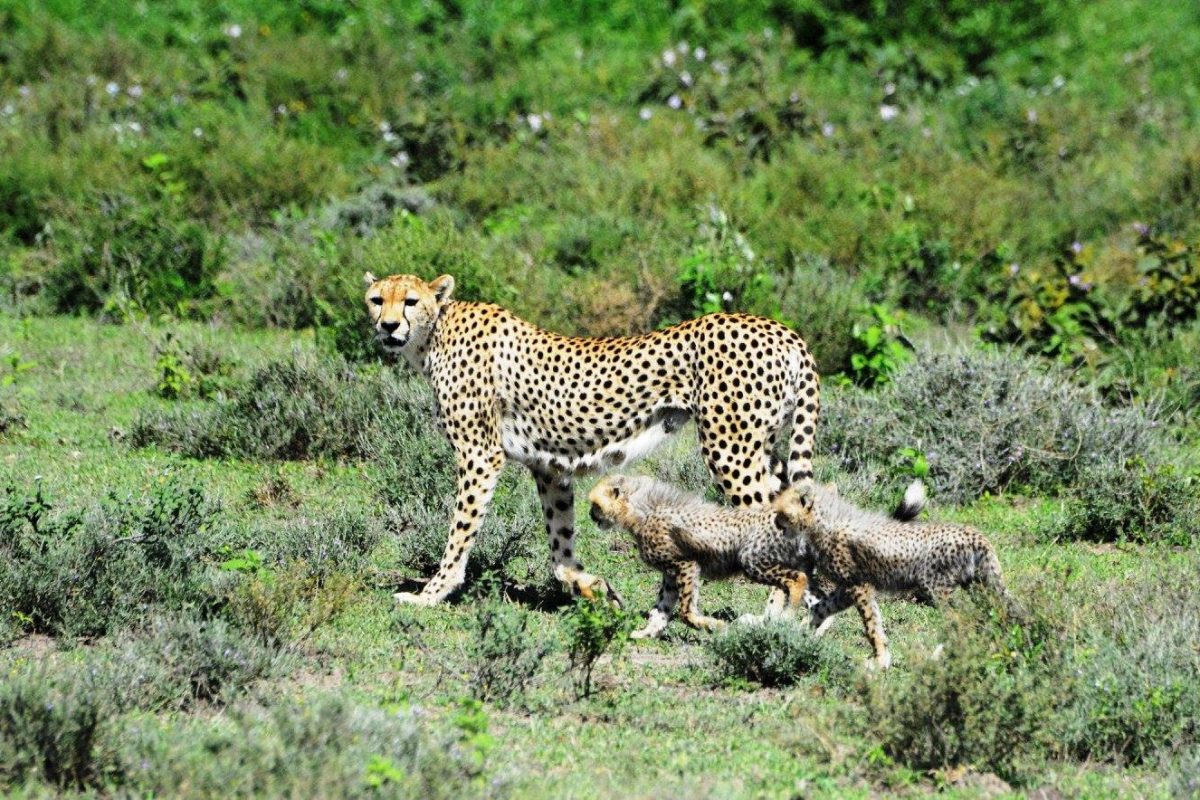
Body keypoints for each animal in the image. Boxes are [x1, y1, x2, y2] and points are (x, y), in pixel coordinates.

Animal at [363, 272, 820, 607]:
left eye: (410, 301)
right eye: (376, 299)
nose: (388, 326)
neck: (433, 335)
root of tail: (781, 328)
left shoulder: (480, 455)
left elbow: (459, 533)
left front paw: (430, 594)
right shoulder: (549, 467)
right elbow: (560, 543)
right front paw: (592, 586)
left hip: (731, 450)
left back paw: (774, 621)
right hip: (762, 448)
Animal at [586, 474, 927, 639]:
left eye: (594, 503)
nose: (590, 516)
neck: (640, 509)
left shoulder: (685, 565)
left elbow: (685, 612)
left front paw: (714, 626)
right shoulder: (671, 574)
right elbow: (661, 610)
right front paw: (645, 632)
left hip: (753, 561)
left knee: (796, 582)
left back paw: (786, 618)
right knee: (818, 597)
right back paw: (808, 627)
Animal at [775, 481, 1010, 669]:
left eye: (782, 512)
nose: (776, 523)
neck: (824, 522)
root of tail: (975, 534)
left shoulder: (859, 586)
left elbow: (871, 623)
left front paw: (880, 659)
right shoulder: (847, 589)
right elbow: (822, 607)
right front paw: (797, 629)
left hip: (936, 587)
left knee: (961, 619)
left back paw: (940, 657)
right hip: (978, 585)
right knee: (986, 613)